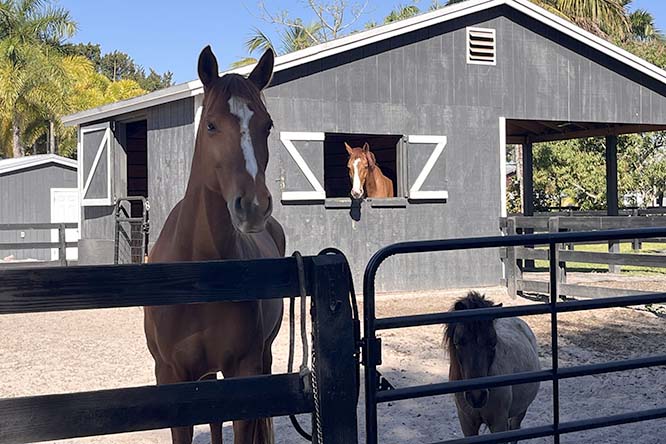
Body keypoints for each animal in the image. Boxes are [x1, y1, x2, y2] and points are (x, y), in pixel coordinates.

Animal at [143, 46, 285, 444]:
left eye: (267, 125)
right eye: (211, 125)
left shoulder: (244, 371)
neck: (200, 272)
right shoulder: (172, 377)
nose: (253, 206)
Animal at [444, 291, 540, 443]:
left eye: (493, 342)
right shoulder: (467, 423)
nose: (477, 397)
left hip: (521, 411)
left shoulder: (498, 424)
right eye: (458, 342)